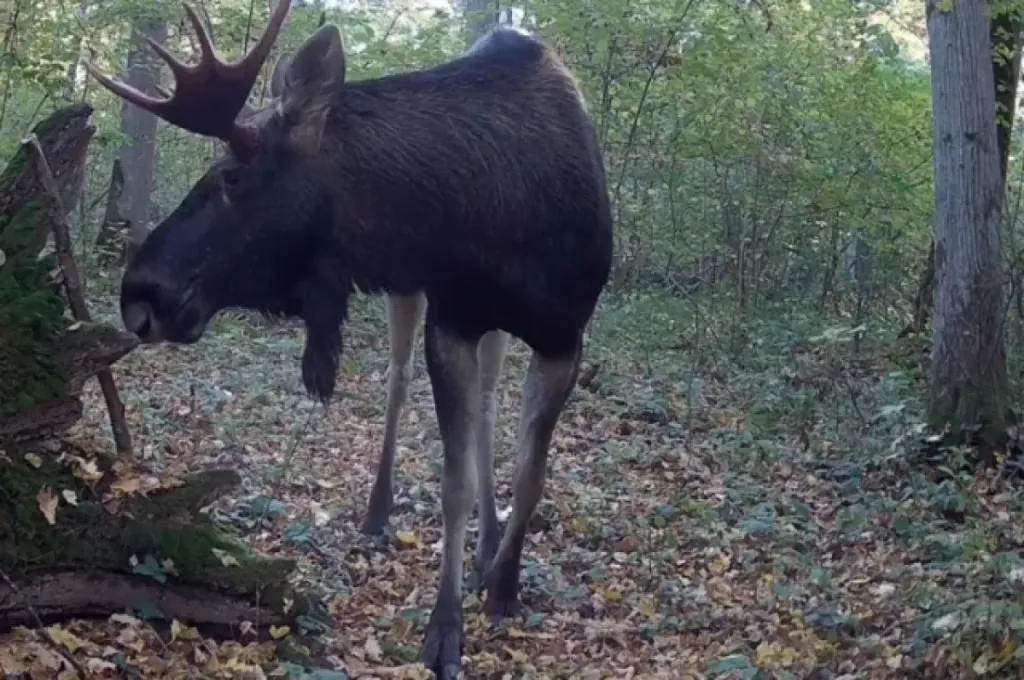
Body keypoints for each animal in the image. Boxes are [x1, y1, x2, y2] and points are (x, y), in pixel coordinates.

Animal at [84, 2, 613, 677]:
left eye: (231, 175)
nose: (140, 294)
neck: (500, 228)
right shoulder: (451, 318)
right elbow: (454, 483)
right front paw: (444, 630)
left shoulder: (565, 336)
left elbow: (531, 476)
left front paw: (503, 584)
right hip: (410, 294)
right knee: (399, 380)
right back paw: (380, 511)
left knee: (492, 403)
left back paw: (490, 544)